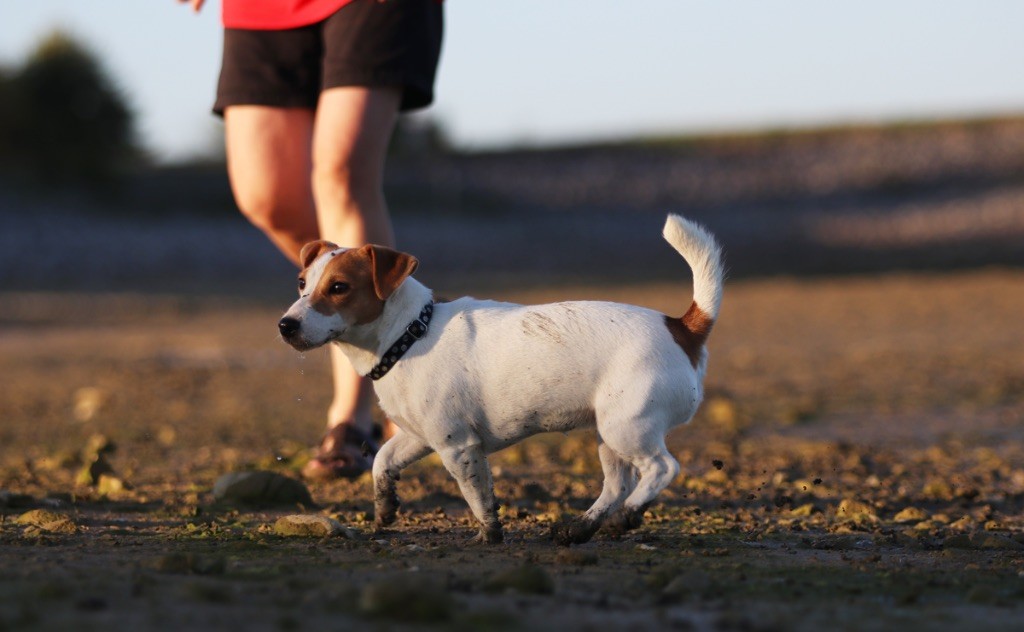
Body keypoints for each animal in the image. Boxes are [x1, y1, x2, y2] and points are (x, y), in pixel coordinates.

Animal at [276, 216, 724, 540]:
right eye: (301, 284)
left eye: (339, 287)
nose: (285, 325)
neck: (410, 334)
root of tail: (682, 326)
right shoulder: (419, 437)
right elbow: (382, 462)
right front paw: (385, 507)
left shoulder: (458, 446)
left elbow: (477, 496)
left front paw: (489, 534)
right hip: (609, 434)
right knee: (617, 484)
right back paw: (582, 528)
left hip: (627, 428)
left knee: (662, 469)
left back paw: (627, 516)